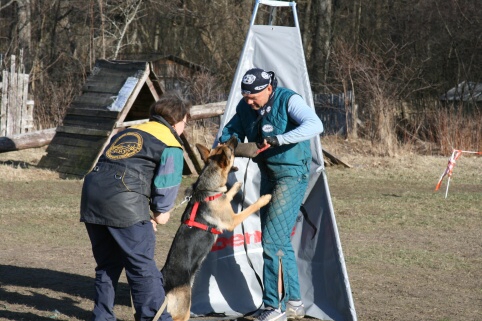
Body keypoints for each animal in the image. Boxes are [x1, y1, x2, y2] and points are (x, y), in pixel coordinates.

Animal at [161, 136, 272, 320]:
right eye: (230, 149)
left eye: (225, 145)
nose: (233, 137)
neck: (208, 187)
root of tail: (164, 285)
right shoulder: (233, 220)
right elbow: (250, 207)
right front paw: (264, 198)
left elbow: (228, 193)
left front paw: (237, 186)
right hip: (182, 312)